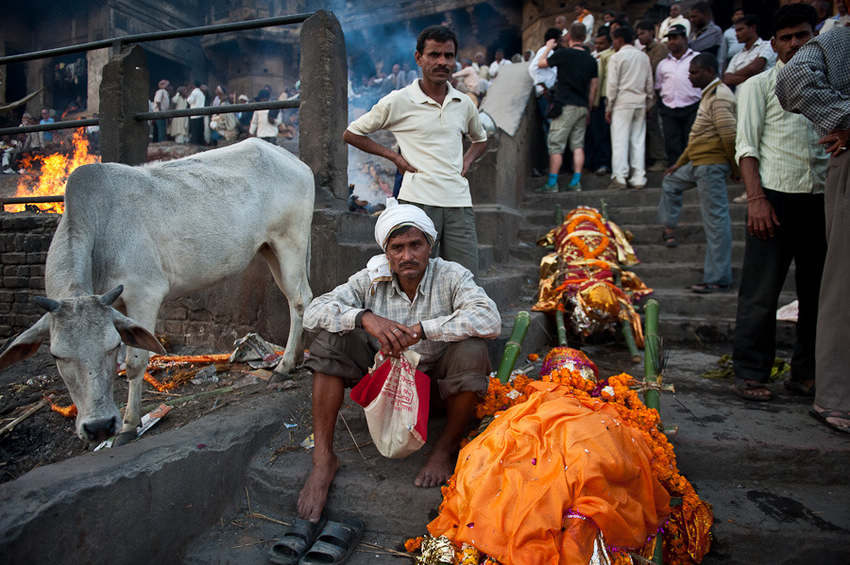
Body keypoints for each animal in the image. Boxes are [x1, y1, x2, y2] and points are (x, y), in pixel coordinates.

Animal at [0, 139, 314, 442]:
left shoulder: (144, 294)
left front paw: (129, 425)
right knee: (299, 297)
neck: (99, 230)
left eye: (110, 346)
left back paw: (284, 366)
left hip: (290, 242)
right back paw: (297, 357)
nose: (99, 427)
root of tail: (292, 159)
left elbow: (135, 361)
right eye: (56, 356)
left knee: (299, 300)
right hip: (269, 249)